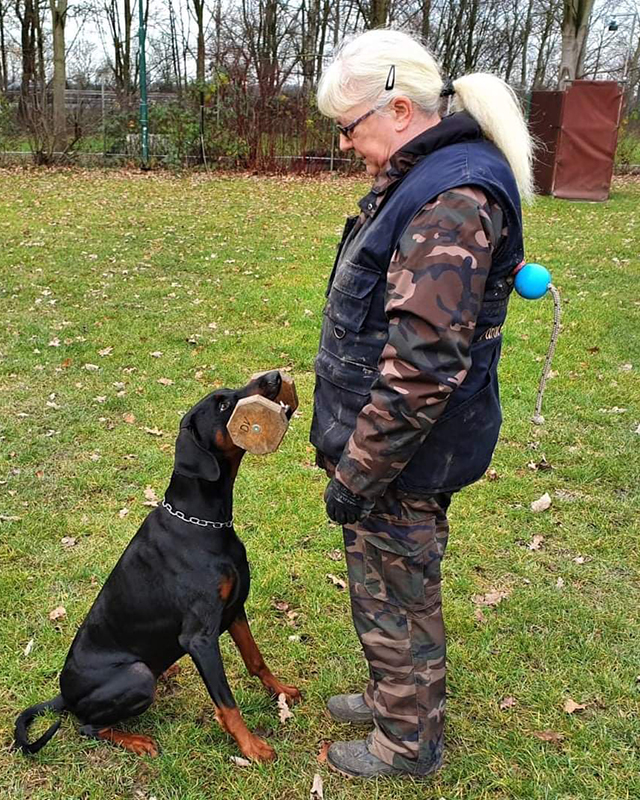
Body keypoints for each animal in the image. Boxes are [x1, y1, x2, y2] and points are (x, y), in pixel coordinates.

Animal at [15, 371, 300, 761]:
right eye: (223, 405)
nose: (273, 376)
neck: (202, 523)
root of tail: (64, 695)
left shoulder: (234, 610)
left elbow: (256, 659)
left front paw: (282, 691)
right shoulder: (200, 636)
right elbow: (226, 703)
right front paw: (252, 747)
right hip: (136, 676)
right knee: (87, 726)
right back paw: (138, 741)